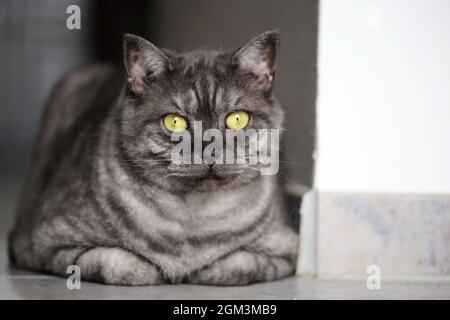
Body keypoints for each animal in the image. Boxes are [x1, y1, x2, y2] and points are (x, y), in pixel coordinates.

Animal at [7, 30, 298, 284]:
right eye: (174, 122)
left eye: (237, 119)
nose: (210, 150)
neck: (193, 221)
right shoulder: (44, 240)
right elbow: (115, 262)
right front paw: (157, 271)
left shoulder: (285, 249)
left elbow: (239, 265)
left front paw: (198, 270)